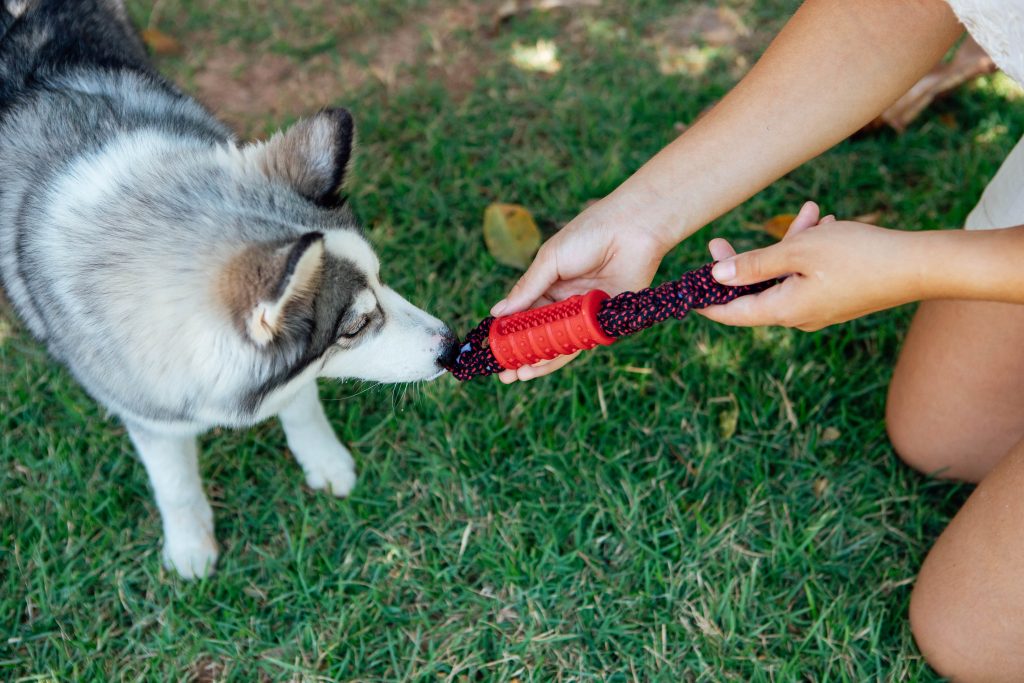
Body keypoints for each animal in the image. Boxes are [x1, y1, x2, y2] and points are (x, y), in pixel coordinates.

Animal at [0, 0, 456, 581]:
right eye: (354, 326)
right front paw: (190, 546)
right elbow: (174, 482)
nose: (451, 345)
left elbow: (300, 404)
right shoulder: (148, 411)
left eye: (382, 277)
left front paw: (324, 460)